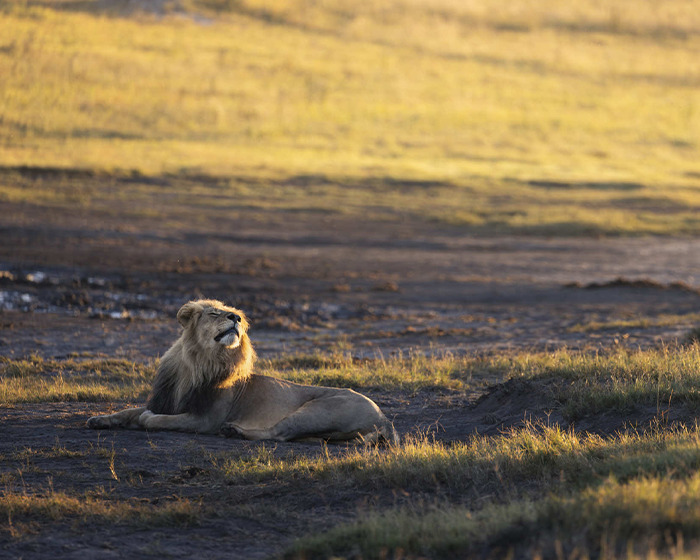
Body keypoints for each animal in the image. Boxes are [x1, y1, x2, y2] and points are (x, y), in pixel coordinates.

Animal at [87, 299, 398, 444]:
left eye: (233, 313)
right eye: (214, 313)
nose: (235, 317)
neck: (197, 363)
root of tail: (385, 419)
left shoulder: (204, 419)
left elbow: (156, 420)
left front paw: (146, 419)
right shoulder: (167, 399)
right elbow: (129, 410)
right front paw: (99, 419)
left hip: (316, 410)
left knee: (278, 433)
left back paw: (234, 431)